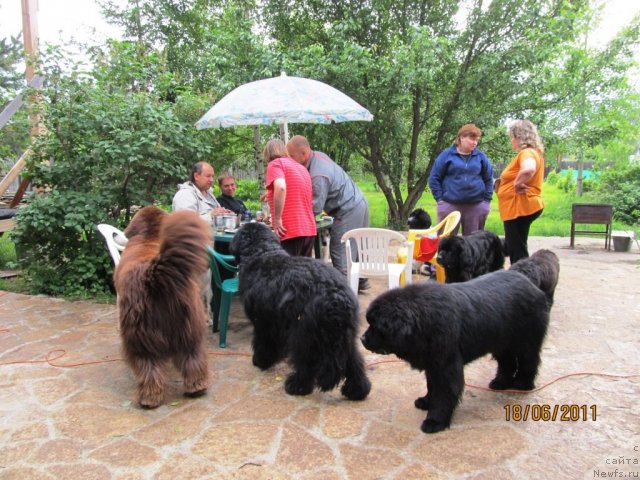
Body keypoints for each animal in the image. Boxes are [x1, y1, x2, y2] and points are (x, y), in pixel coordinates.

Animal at [115, 206, 212, 408]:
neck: (148, 237)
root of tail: (153, 276)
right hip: (189, 326)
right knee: (193, 358)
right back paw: (197, 388)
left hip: (138, 338)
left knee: (148, 369)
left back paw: (148, 400)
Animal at [229, 222, 370, 402]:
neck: (261, 252)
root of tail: (336, 297)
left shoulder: (263, 323)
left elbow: (262, 343)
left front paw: (260, 360)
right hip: (346, 336)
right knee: (354, 361)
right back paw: (357, 390)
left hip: (303, 335)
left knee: (306, 362)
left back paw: (297, 385)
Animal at [362, 270, 548, 436]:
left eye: (375, 325)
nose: (362, 339)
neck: (423, 321)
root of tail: (531, 284)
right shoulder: (433, 363)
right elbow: (432, 386)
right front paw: (426, 401)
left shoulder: (446, 366)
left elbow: (444, 393)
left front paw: (435, 421)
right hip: (501, 343)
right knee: (507, 362)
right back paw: (500, 382)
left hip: (526, 342)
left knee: (529, 361)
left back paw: (523, 384)